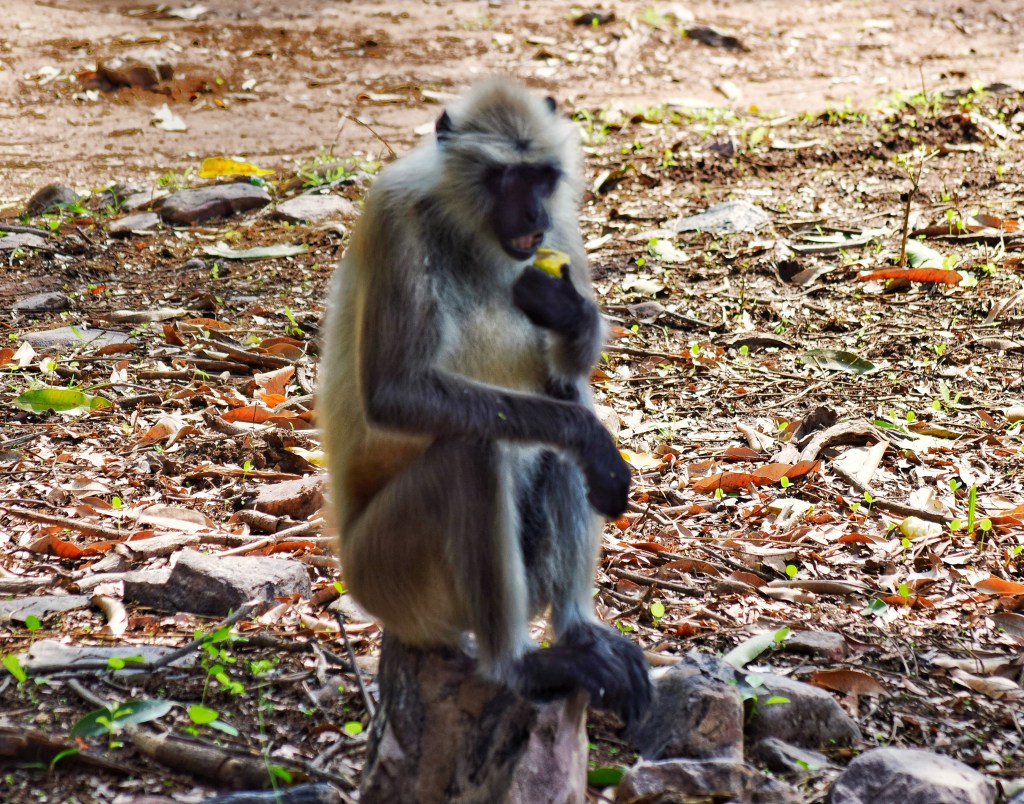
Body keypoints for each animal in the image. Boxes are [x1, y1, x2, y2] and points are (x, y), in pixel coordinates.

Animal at [317, 77, 652, 725]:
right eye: (503, 178)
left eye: (541, 178)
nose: (531, 214)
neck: (470, 232)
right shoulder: (395, 216)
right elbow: (395, 394)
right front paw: (593, 442)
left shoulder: (556, 235)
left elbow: (567, 377)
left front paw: (570, 314)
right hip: (388, 573)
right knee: (475, 450)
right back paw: (516, 665)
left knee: (555, 412)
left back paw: (576, 631)